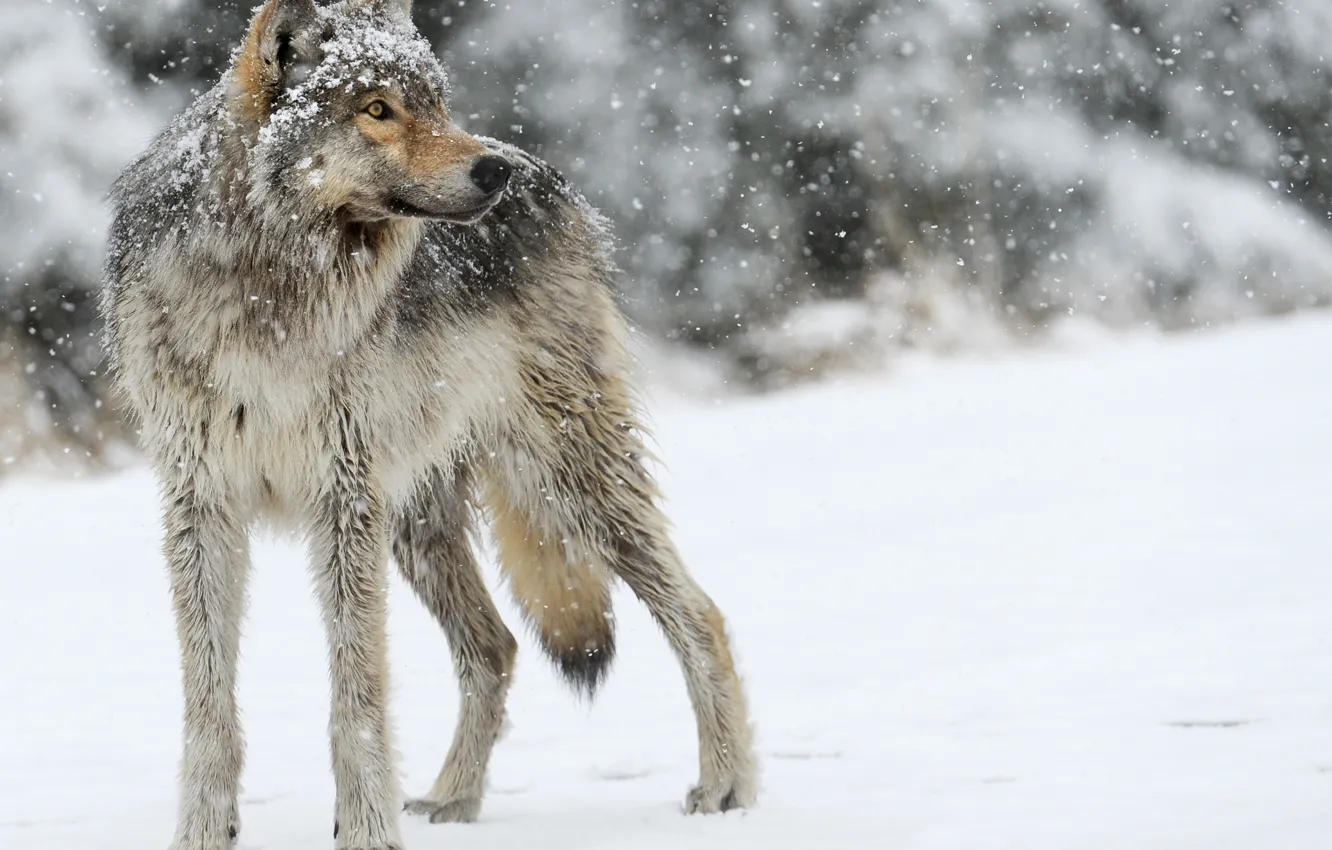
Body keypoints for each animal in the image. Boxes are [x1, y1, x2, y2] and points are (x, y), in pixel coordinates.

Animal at [98, 1, 756, 850]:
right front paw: (204, 835)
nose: (492, 173)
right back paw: (453, 799)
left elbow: (357, 700)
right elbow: (209, 705)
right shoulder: (201, 506)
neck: (268, 290)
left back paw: (727, 786)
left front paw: (367, 833)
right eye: (378, 109)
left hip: (565, 479)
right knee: (496, 645)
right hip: (417, 521)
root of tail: (550, 176)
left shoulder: (342, 502)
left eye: (437, 103)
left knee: (699, 613)